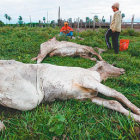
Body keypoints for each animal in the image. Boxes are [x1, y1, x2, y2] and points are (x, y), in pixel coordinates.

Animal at [0, 59, 140, 131]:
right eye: (107, 64)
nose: (122, 70)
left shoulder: (88, 97)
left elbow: (113, 103)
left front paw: (135, 116)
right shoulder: (88, 81)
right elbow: (117, 94)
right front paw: (138, 111)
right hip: (29, 98)